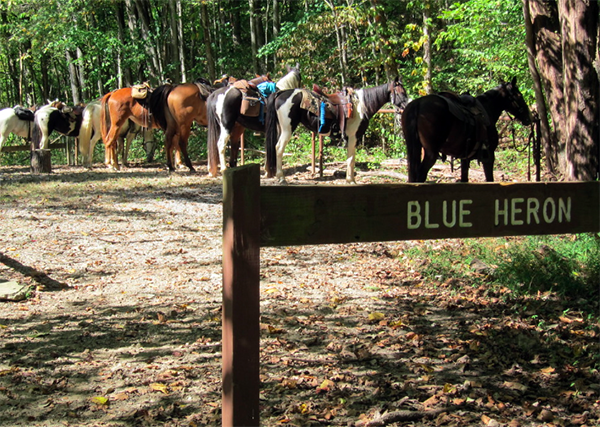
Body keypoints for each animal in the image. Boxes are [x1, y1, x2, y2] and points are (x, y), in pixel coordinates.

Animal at [264, 78, 410, 184]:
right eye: (401, 92)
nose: (408, 105)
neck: (361, 106)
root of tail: (280, 93)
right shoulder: (353, 137)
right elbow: (351, 159)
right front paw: (351, 181)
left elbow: (350, 159)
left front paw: (349, 179)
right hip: (287, 129)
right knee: (279, 148)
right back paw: (281, 178)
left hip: (280, 129)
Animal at [400, 77, 532, 181]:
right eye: (519, 95)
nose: (529, 118)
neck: (487, 109)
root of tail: (418, 103)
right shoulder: (488, 157)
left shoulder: (465, 159)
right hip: (431, 153)